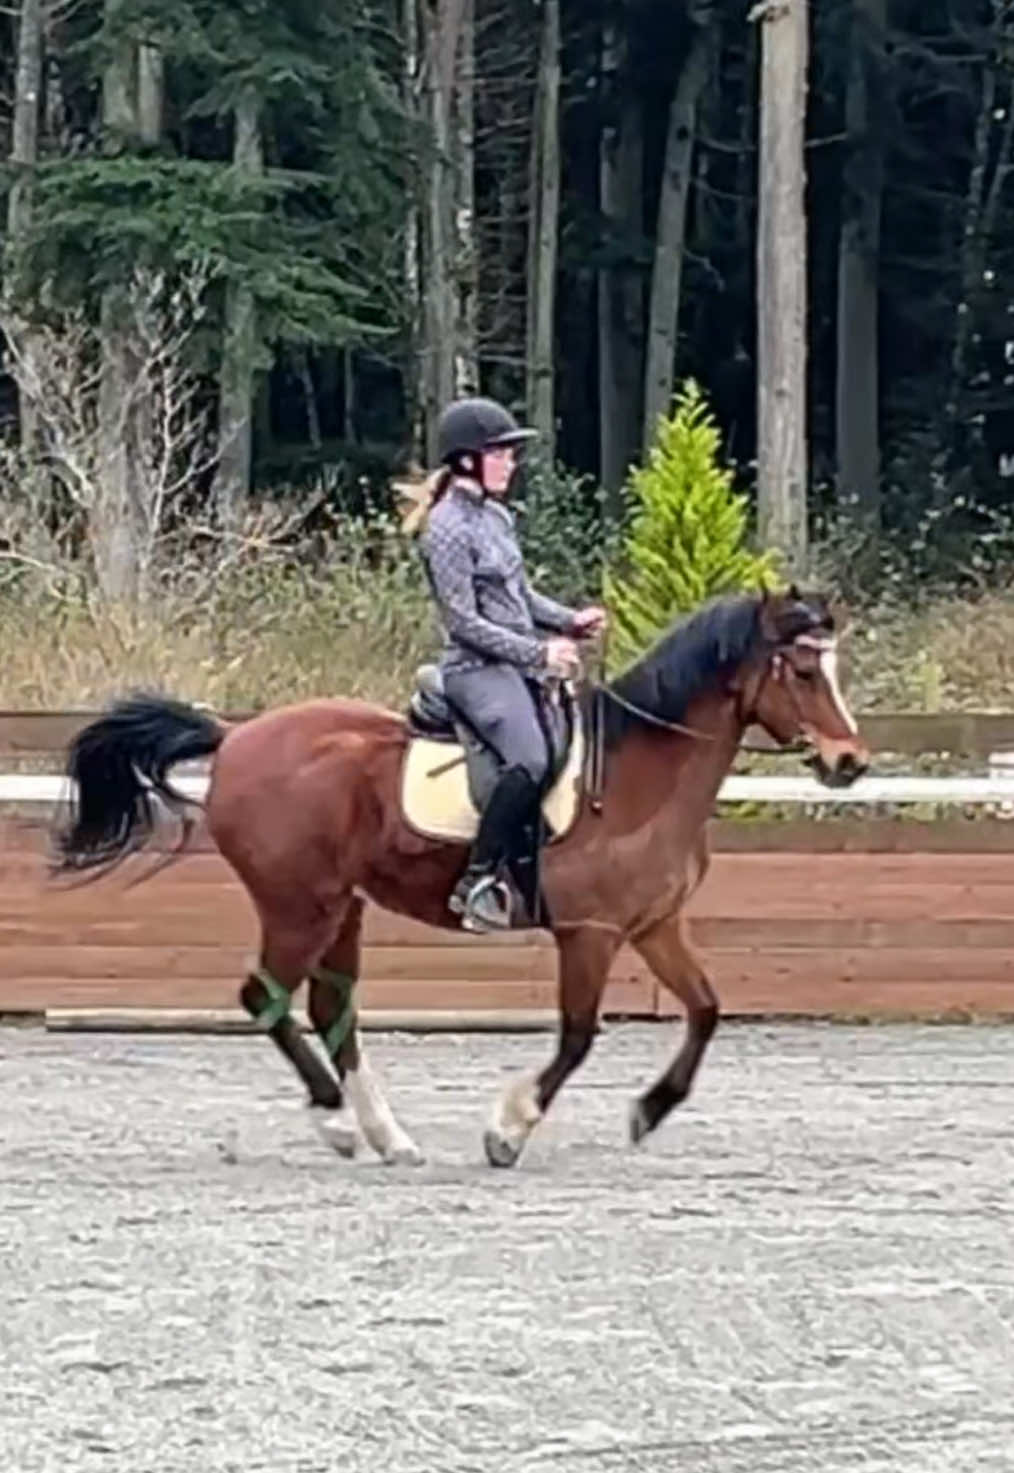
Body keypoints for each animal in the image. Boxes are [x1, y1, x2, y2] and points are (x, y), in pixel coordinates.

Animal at [52, 587, 870, 1169]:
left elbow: (704, 1010)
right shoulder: (590, 932)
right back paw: (337, 1121)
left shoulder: (653, 925)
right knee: (266, 998)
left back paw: (387, 1137)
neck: (643, 774)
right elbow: (578, 1036)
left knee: (330, 1008)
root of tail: (236, 735)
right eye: (803, 670)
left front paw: (649, 1110)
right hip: (298, 906)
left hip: (341, 908)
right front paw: (509, 1130)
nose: (850, 762)